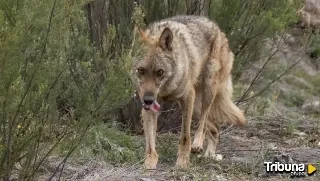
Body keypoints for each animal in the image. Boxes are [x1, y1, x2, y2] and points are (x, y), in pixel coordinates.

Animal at [134, 15, 246, 170]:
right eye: (141, 70)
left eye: (160, 72)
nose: (148, 100)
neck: (166, 89)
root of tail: (219, 31)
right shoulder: (150, 108)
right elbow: (150, 143)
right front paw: (149, 163)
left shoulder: (187, 97)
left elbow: (185, 136)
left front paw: (182, 163)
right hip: (196, 109)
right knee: (215, 129)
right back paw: (208, 155)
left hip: (207, 90)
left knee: (204, 122)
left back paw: (198, 144)